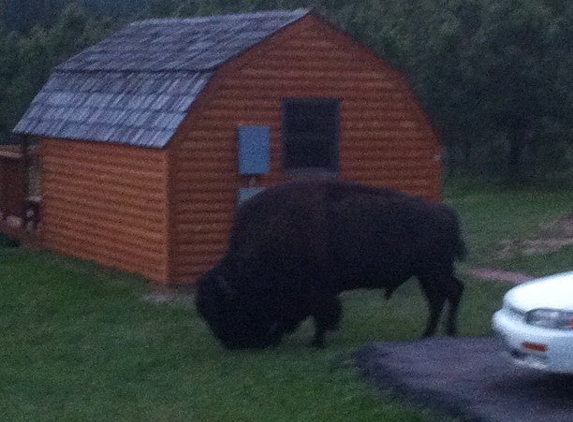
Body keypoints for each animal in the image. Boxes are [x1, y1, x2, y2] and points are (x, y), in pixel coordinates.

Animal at [194, 180, 462, 348]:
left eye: (228, 308)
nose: (233, 345)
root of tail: (444, 212)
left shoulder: (319, 292)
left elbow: (323, 315)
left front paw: (316, 342)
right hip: (426, 273)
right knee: (438, 298)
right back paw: (427, 335)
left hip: (434, 270)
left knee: (452, 292)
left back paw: (448, 332)